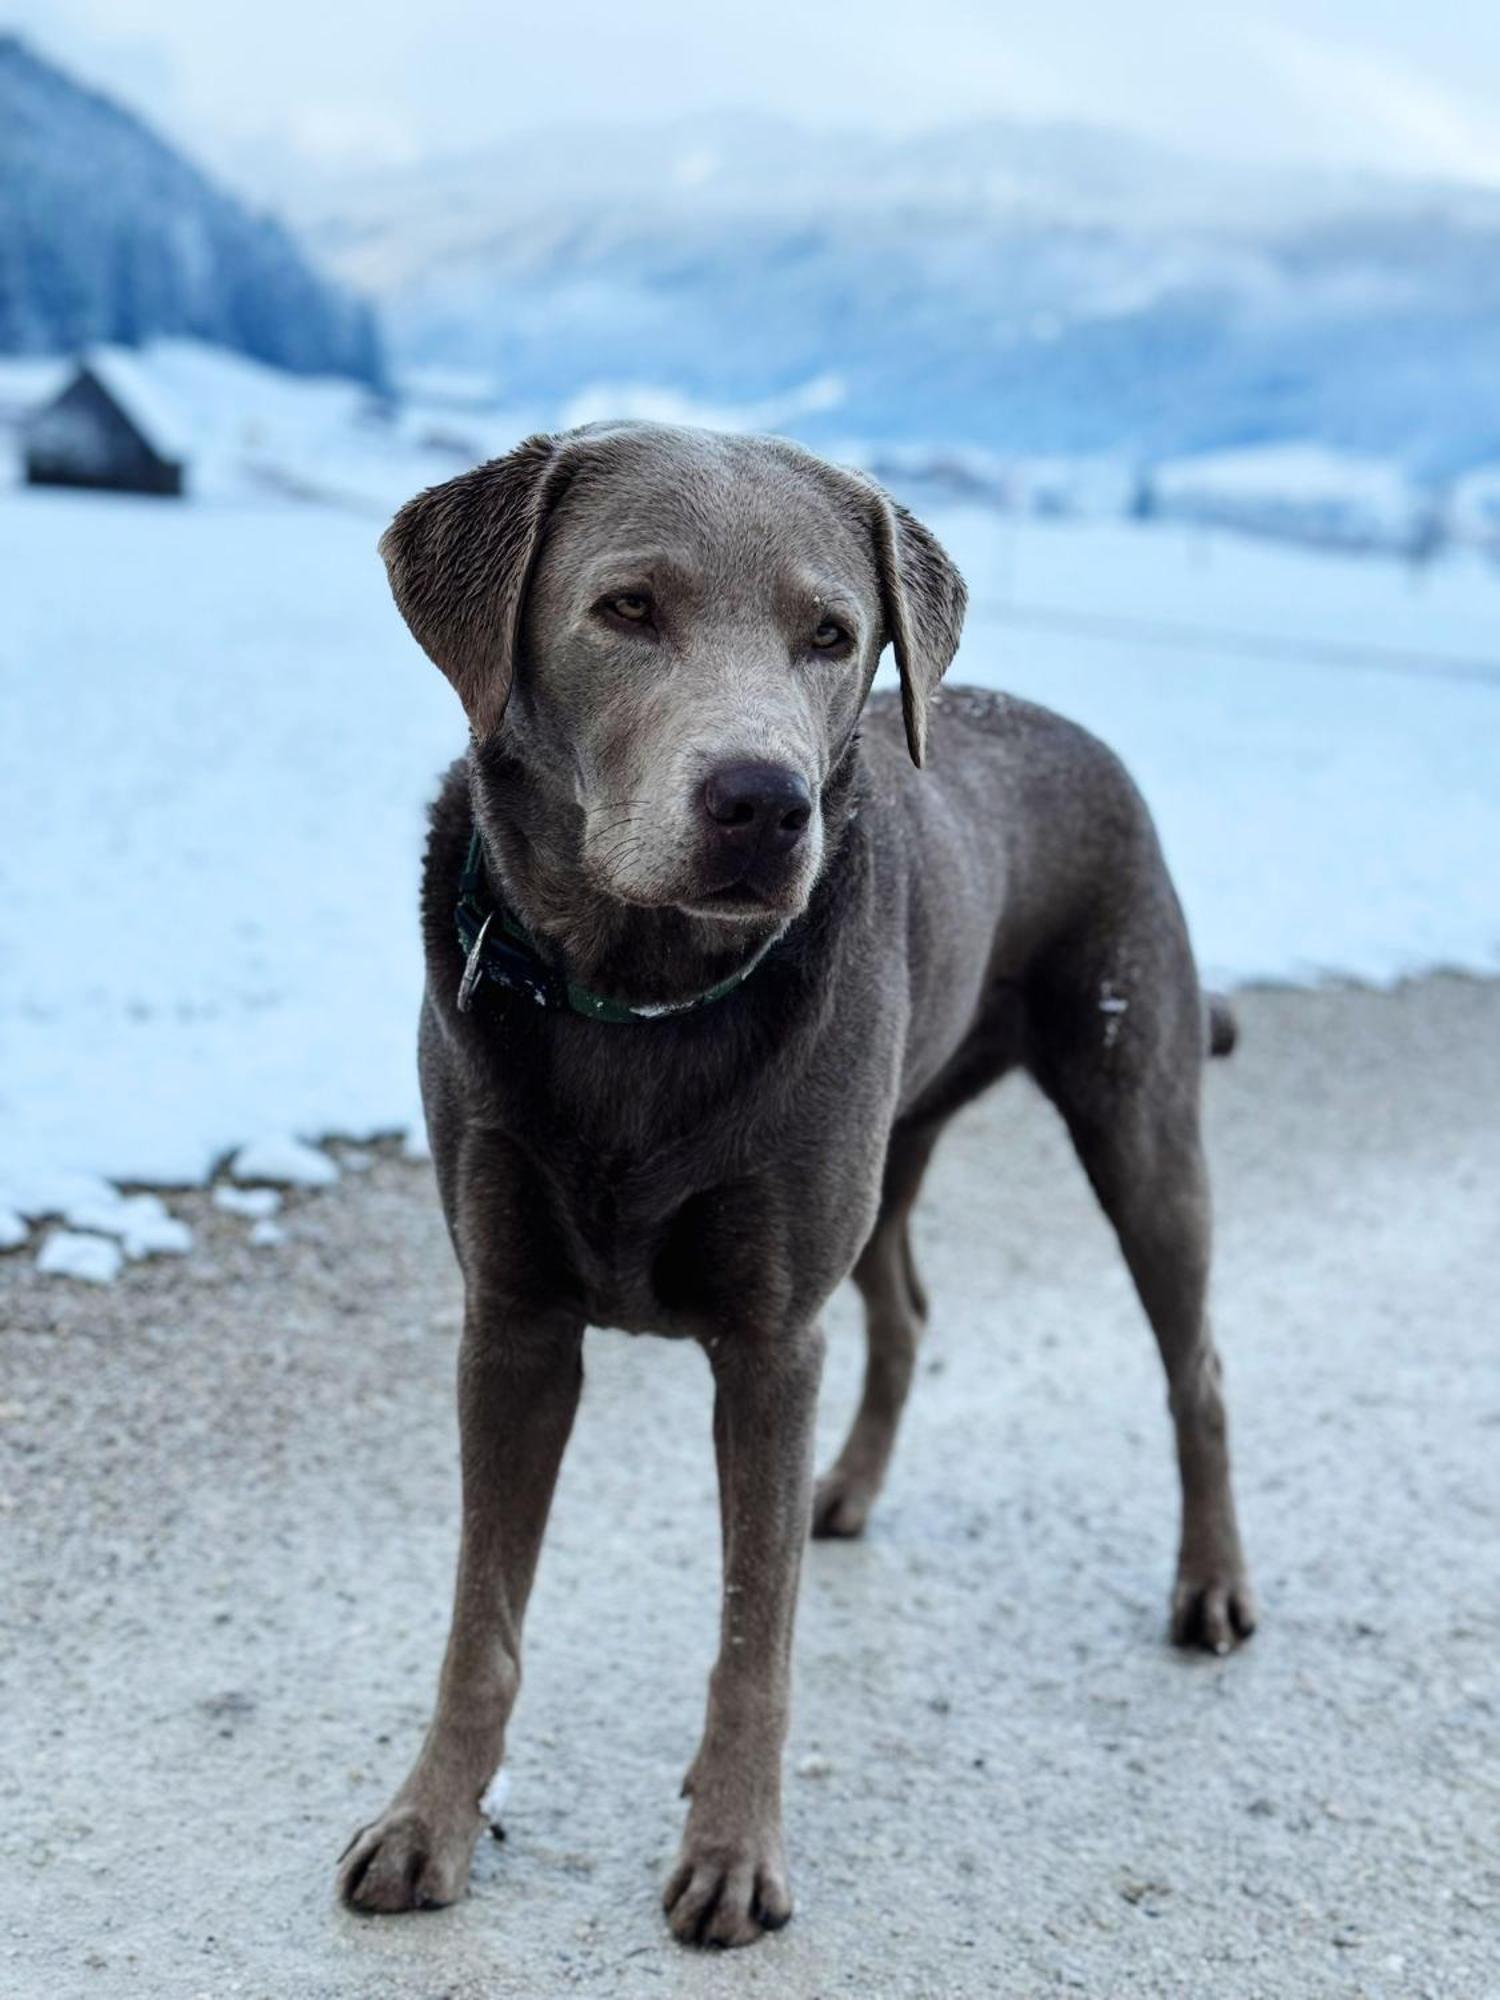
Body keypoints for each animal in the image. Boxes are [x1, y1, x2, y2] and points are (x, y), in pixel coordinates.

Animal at [338, 418, 1256, 1936]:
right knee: (906, 1311)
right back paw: (851, 1487)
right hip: (884, 1153)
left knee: (1197, 1364)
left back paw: (1214, 1586)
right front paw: (429, 1822)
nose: (761, 803)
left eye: (832, 634)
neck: (639, 1001)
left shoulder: (768, 1340)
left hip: (1139, 1115)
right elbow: (484, 1618)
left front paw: (729, 1850)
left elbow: (751, 1629)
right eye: (627, 608)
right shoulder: (511, 1322)